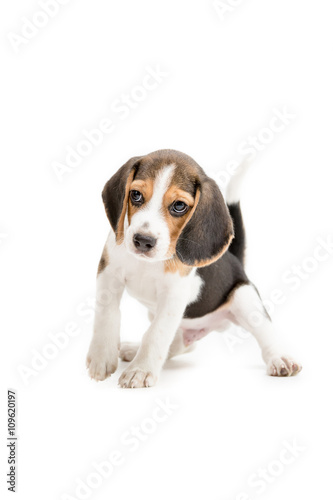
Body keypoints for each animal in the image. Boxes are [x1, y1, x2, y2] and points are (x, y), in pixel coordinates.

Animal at [86, 150, 300, 388]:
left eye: (179, 206)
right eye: (135, 195)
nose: (143, 240)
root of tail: (235, 260)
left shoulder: (173, 296)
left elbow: (156, 333)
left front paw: (140, 370)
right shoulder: (108, 275)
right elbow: (107, 315)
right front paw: (102, 359)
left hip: (244, 298)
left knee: (265, 332)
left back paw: (280, 359)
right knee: (181, 343)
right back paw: (134, 349)